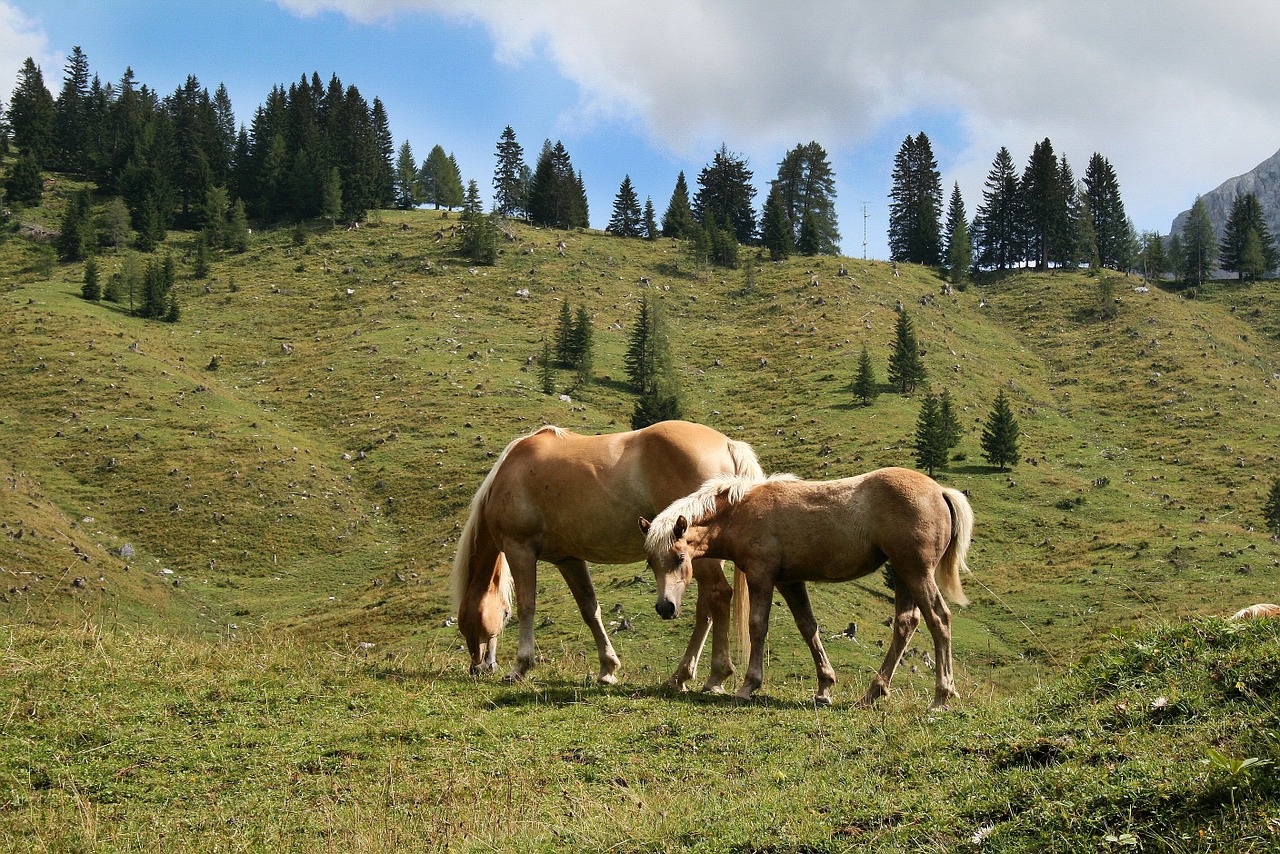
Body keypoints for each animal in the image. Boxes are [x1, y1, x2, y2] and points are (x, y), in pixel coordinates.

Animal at [455, 419, 762, 686]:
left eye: (469, 620)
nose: (479, 667)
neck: (511, 472)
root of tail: (728, 444)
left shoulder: (519, 548)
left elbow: (527, 606)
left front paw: (520, 667)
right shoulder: (568, 559)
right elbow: (590, 609)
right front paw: (607, 669)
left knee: (718, 595)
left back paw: (715, 677)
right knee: (706, 608)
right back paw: (680, 677)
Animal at [645, 468, 972, 706]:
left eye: (679, 558)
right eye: (651, 562)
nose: (665, 607)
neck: (742, 511)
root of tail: (941, 491)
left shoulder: (762, 575)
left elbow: (757, 626)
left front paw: (748, 686)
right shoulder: (789, 581)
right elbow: (808, 627)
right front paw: (824, 687)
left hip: (916, 571)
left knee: (938, 618)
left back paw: (941, 697)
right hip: (904, 573)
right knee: (907, 623)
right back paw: (872, 693)